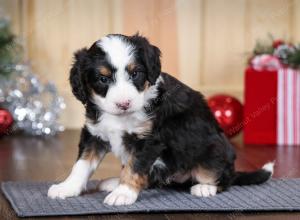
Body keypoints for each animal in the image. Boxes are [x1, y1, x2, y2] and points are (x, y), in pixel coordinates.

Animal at [47, 34, 274, 206]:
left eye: (135, 74)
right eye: (103, 79)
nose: (124, 103)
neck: (121, 117)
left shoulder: (148, 140)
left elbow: (135, 167)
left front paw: (123, 193)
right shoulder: (94, 133)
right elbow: (82, 165)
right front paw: (67, 187)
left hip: (215, 148)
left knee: (222, 177)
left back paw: (204, 187)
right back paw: (113, 182)